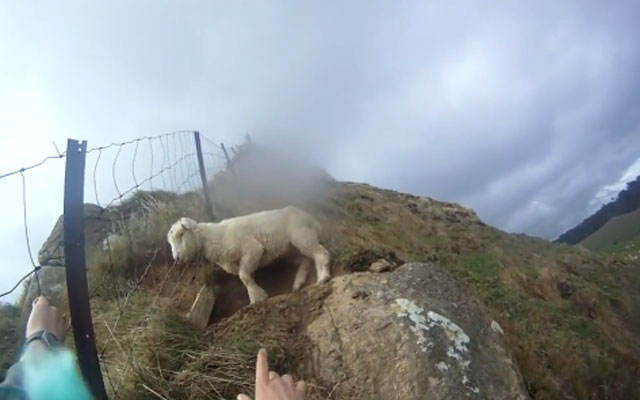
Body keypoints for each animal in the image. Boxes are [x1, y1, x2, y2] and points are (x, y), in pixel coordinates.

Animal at [166, 206, 330, 304]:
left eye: (181, 234)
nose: (177, 259)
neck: (212, 238)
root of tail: (311, 219)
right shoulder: (240, 261)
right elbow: (247, 277)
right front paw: (255, 296)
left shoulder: (252, 249)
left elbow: (244, 276)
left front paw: (258, 298)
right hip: (291, 249)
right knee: (306, 260)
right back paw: (298, 283)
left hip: (302, 236)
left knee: (321, 253)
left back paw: (323, 277)